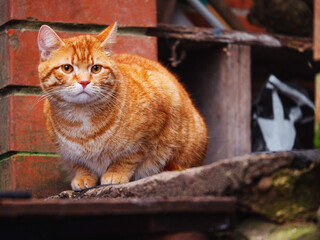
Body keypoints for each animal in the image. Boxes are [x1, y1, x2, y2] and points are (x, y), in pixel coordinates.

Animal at [37, 23, 208, 191]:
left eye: (96, 68)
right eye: (67, 68)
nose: (84, 82)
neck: (82, 119)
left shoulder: (151, 129)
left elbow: (128, 157)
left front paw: (116, 173)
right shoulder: (67, 152)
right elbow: (79, 163)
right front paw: (83, 176)